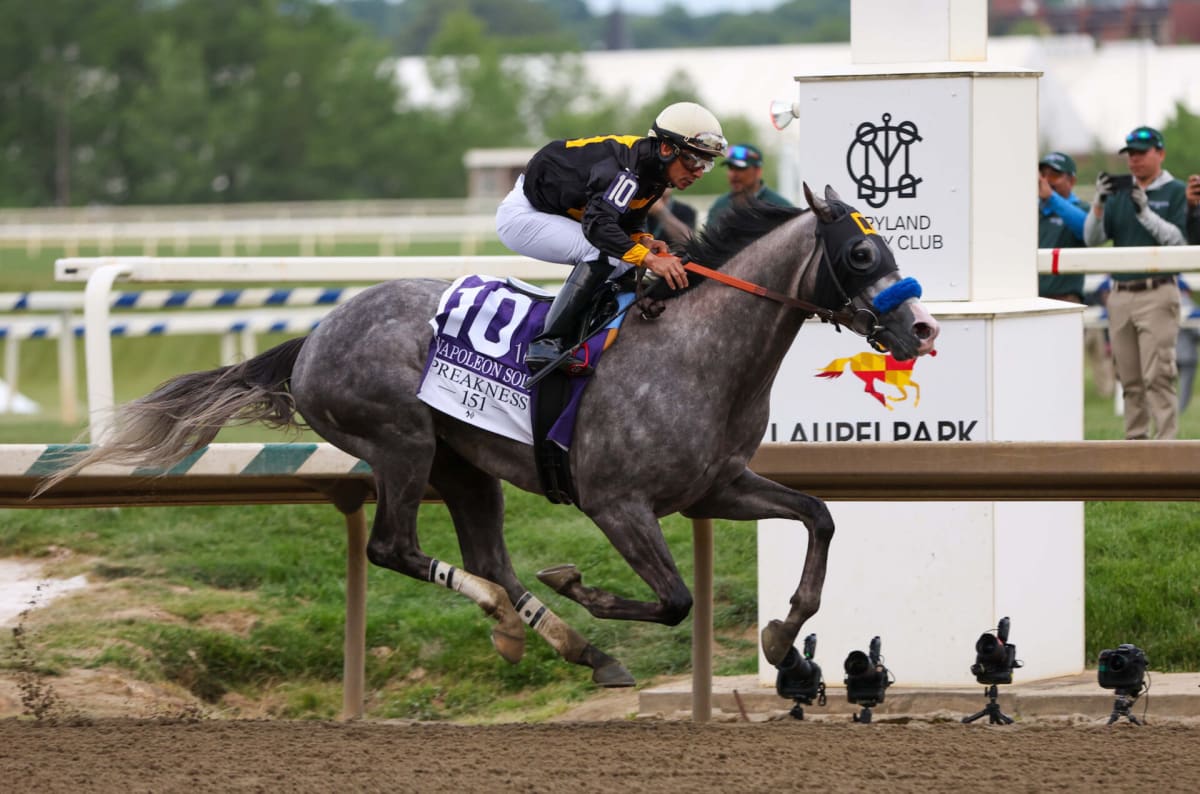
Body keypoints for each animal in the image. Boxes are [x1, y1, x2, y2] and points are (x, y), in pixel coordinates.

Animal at [42, 184, 939, 688]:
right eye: (862, 253)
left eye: (892, 243)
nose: (921, 329)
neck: (699, 352)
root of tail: (313, 337)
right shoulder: (617, 503)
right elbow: (676, 599)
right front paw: (584, 586)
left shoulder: (715, 487)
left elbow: (819, 516)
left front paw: (785, 638)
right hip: (401, 444)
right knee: (396, 549)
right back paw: (521, 621)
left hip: (464, 466)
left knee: (488, 559)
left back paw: (573, 646)